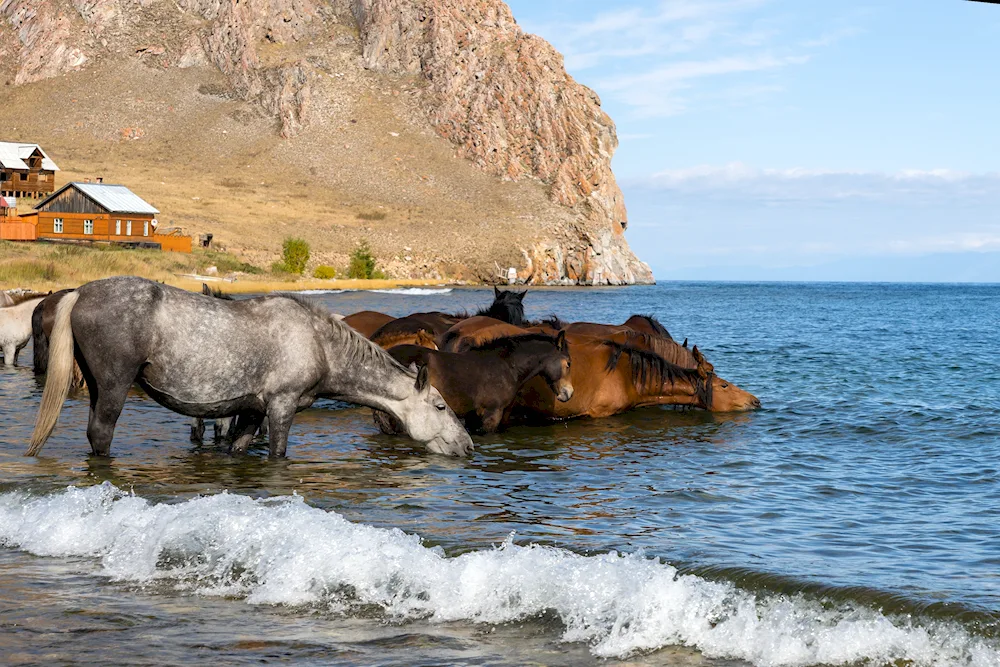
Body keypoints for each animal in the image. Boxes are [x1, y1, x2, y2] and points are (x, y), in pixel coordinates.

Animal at [26, 276, 472, 460]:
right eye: (439, 406)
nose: (467, 446)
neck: (319, 343)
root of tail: (80, 293)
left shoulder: (252, 411)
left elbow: (237, 449)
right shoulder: (281, 407)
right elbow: (278, 453)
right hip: (113, 387)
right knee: (100, 435)